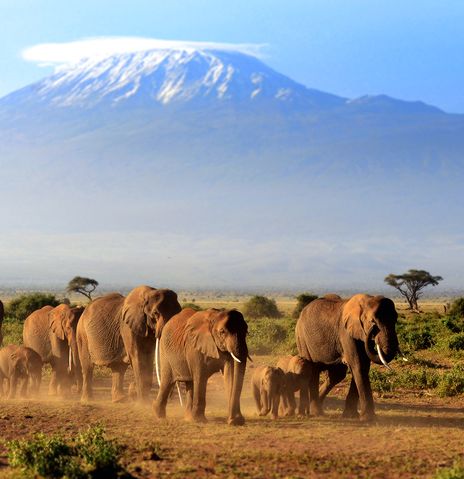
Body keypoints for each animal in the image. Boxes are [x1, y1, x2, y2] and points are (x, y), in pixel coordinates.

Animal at [298, 294, 398, 422]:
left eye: (395, 320)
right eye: (372, 321)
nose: (372, 331)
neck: (366, 301)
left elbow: (363, 366)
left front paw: (350, 415)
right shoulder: (346, 333)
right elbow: (358, 365)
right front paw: (368, 418)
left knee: (337, 375)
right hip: (302, 339)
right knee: (313, 370)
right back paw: (317, 413)